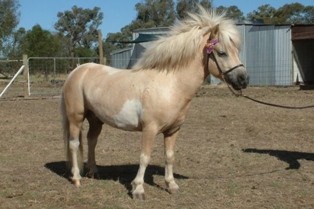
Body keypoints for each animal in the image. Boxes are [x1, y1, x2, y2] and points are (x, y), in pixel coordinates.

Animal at [60, 6, 249, 199]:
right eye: (222, 53)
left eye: (236, 51)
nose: (243, 79)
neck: (171, 85)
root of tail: (77, 71)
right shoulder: (149, 129)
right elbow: (144, 157)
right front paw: (138, 189)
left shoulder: (173, 131)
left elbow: (169, 156)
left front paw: (171, 185)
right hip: (76, 118)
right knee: (74, 144)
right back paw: (77, 178)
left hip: (96, 119)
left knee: (92, 141)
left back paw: (94, 172)